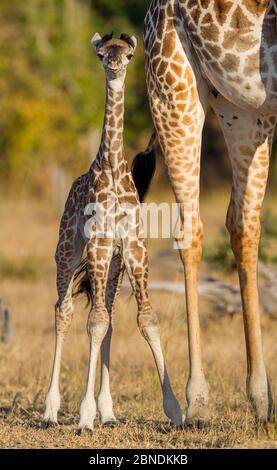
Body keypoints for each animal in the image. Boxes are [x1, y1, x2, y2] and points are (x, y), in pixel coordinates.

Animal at [42, 31, 181, 432]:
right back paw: (50, 410)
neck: (116, 171)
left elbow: (144, 320)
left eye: (129, 54)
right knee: (64, 311)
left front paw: (175, 409)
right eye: (103, 54)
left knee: (108, 317)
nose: (116, 65)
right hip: (68, 252)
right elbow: (93, 322)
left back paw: (108, 411)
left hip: (115, 267)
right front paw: (84, 415)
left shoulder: (133, 248)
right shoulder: (100, 246)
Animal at [139, 0, 274, 424]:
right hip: (174, 88)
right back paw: (196, 402)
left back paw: (261, 398)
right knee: (191, 230)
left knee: (242, 222)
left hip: (243, 106)